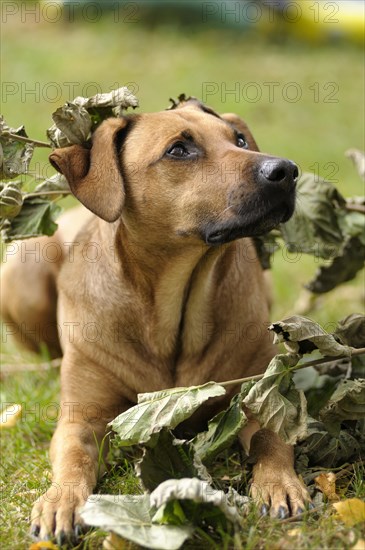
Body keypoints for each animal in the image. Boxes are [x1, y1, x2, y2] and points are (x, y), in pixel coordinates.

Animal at [0, 98, 308, 544]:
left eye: (239, 139)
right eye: (179, 150)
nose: (287, 170)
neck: (172, 313)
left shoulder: (259, 389)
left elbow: (271, 433)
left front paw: (280, 483)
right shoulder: (82, 417)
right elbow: (73, 455)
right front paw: (60, 501)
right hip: (23, 267)